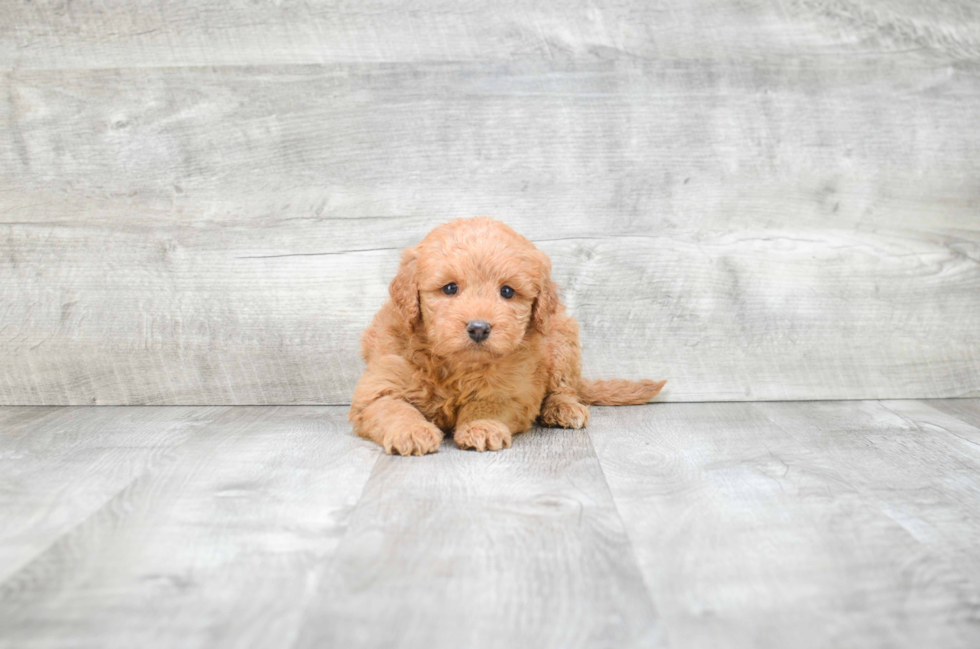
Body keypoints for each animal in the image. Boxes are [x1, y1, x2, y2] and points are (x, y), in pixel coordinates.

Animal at [346, 215, 668, 454]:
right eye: (450, 288)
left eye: (508, 292)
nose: (479, 328)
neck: (459, 366)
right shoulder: (380, 384)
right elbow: (393, 408)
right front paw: (412, 432)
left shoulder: (514, 389)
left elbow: (488, 404)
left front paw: (482, 426)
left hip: (561, 339)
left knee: (564, 387)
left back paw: (563, 409)